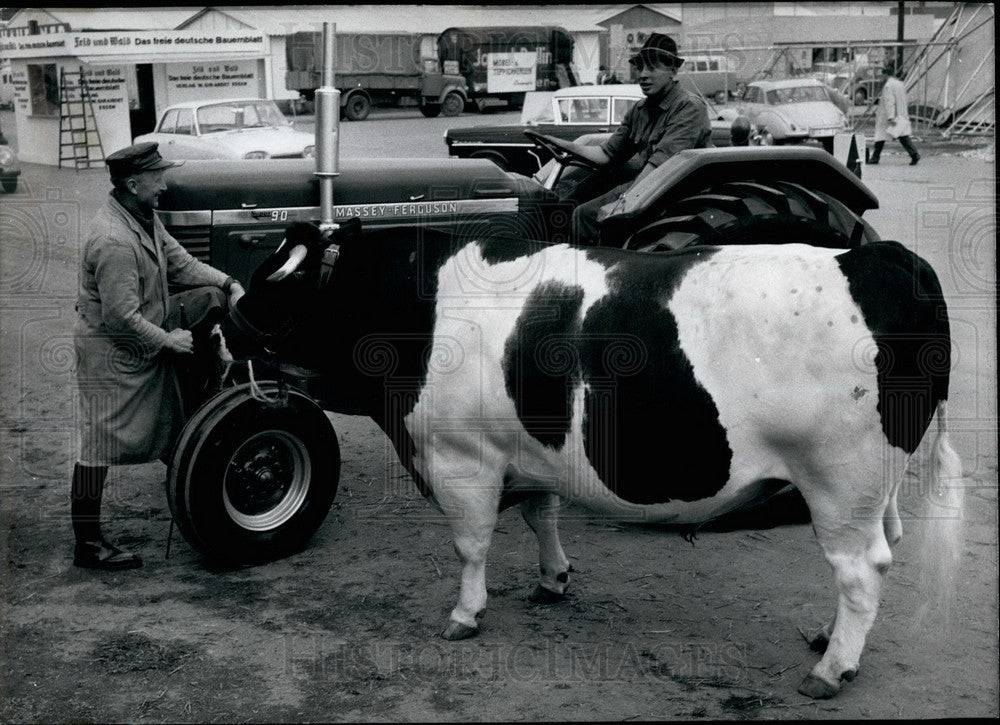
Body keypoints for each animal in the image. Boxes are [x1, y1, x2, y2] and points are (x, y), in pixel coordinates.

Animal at [225, 221, 960, 696]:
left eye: (280, 282)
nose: (225, 328)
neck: (419, 305)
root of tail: (880, 258)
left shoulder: (461, 457)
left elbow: (471, 544)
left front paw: (465, 613)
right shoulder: (532, 450)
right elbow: (540, 516)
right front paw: (553, 579)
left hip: (839, 482)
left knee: (860, 572)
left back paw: (831, 669)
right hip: (871, 490)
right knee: (875, 556)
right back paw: (826, 639)